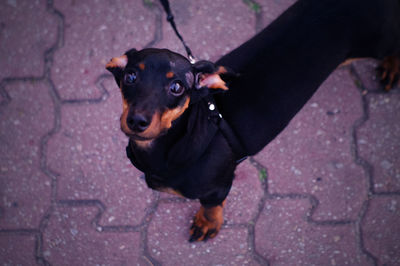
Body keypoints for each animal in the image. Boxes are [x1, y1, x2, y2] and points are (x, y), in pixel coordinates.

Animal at [106, 0, 400, 242]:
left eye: (177, 87)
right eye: (130, 76)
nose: (137, 121)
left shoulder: (218, 187)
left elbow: (211, 206)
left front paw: (207, 224)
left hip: (379, 42)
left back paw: (391, 69)